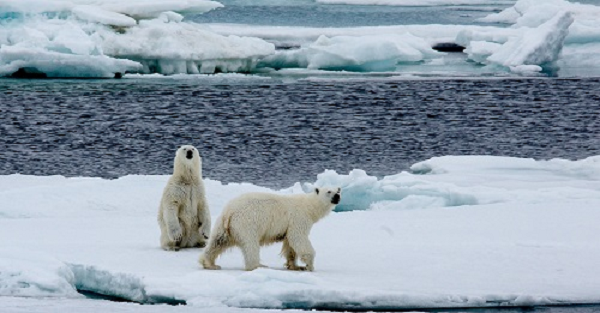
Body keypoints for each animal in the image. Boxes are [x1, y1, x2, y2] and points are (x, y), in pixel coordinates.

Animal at [200, 185, 340, 270]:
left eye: (338, 190)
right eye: (329, 191)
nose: (337, 196)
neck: (309, 207)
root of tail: (230, 211)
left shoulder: (289, 225)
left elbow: (290, 244)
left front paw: (295, 266)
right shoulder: (298, 219)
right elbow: (298, 238)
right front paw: (309, 265)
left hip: (224, 226)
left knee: (218, 241)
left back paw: (209, 263)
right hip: (247, 222)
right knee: (251, 245)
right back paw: (258, 265)